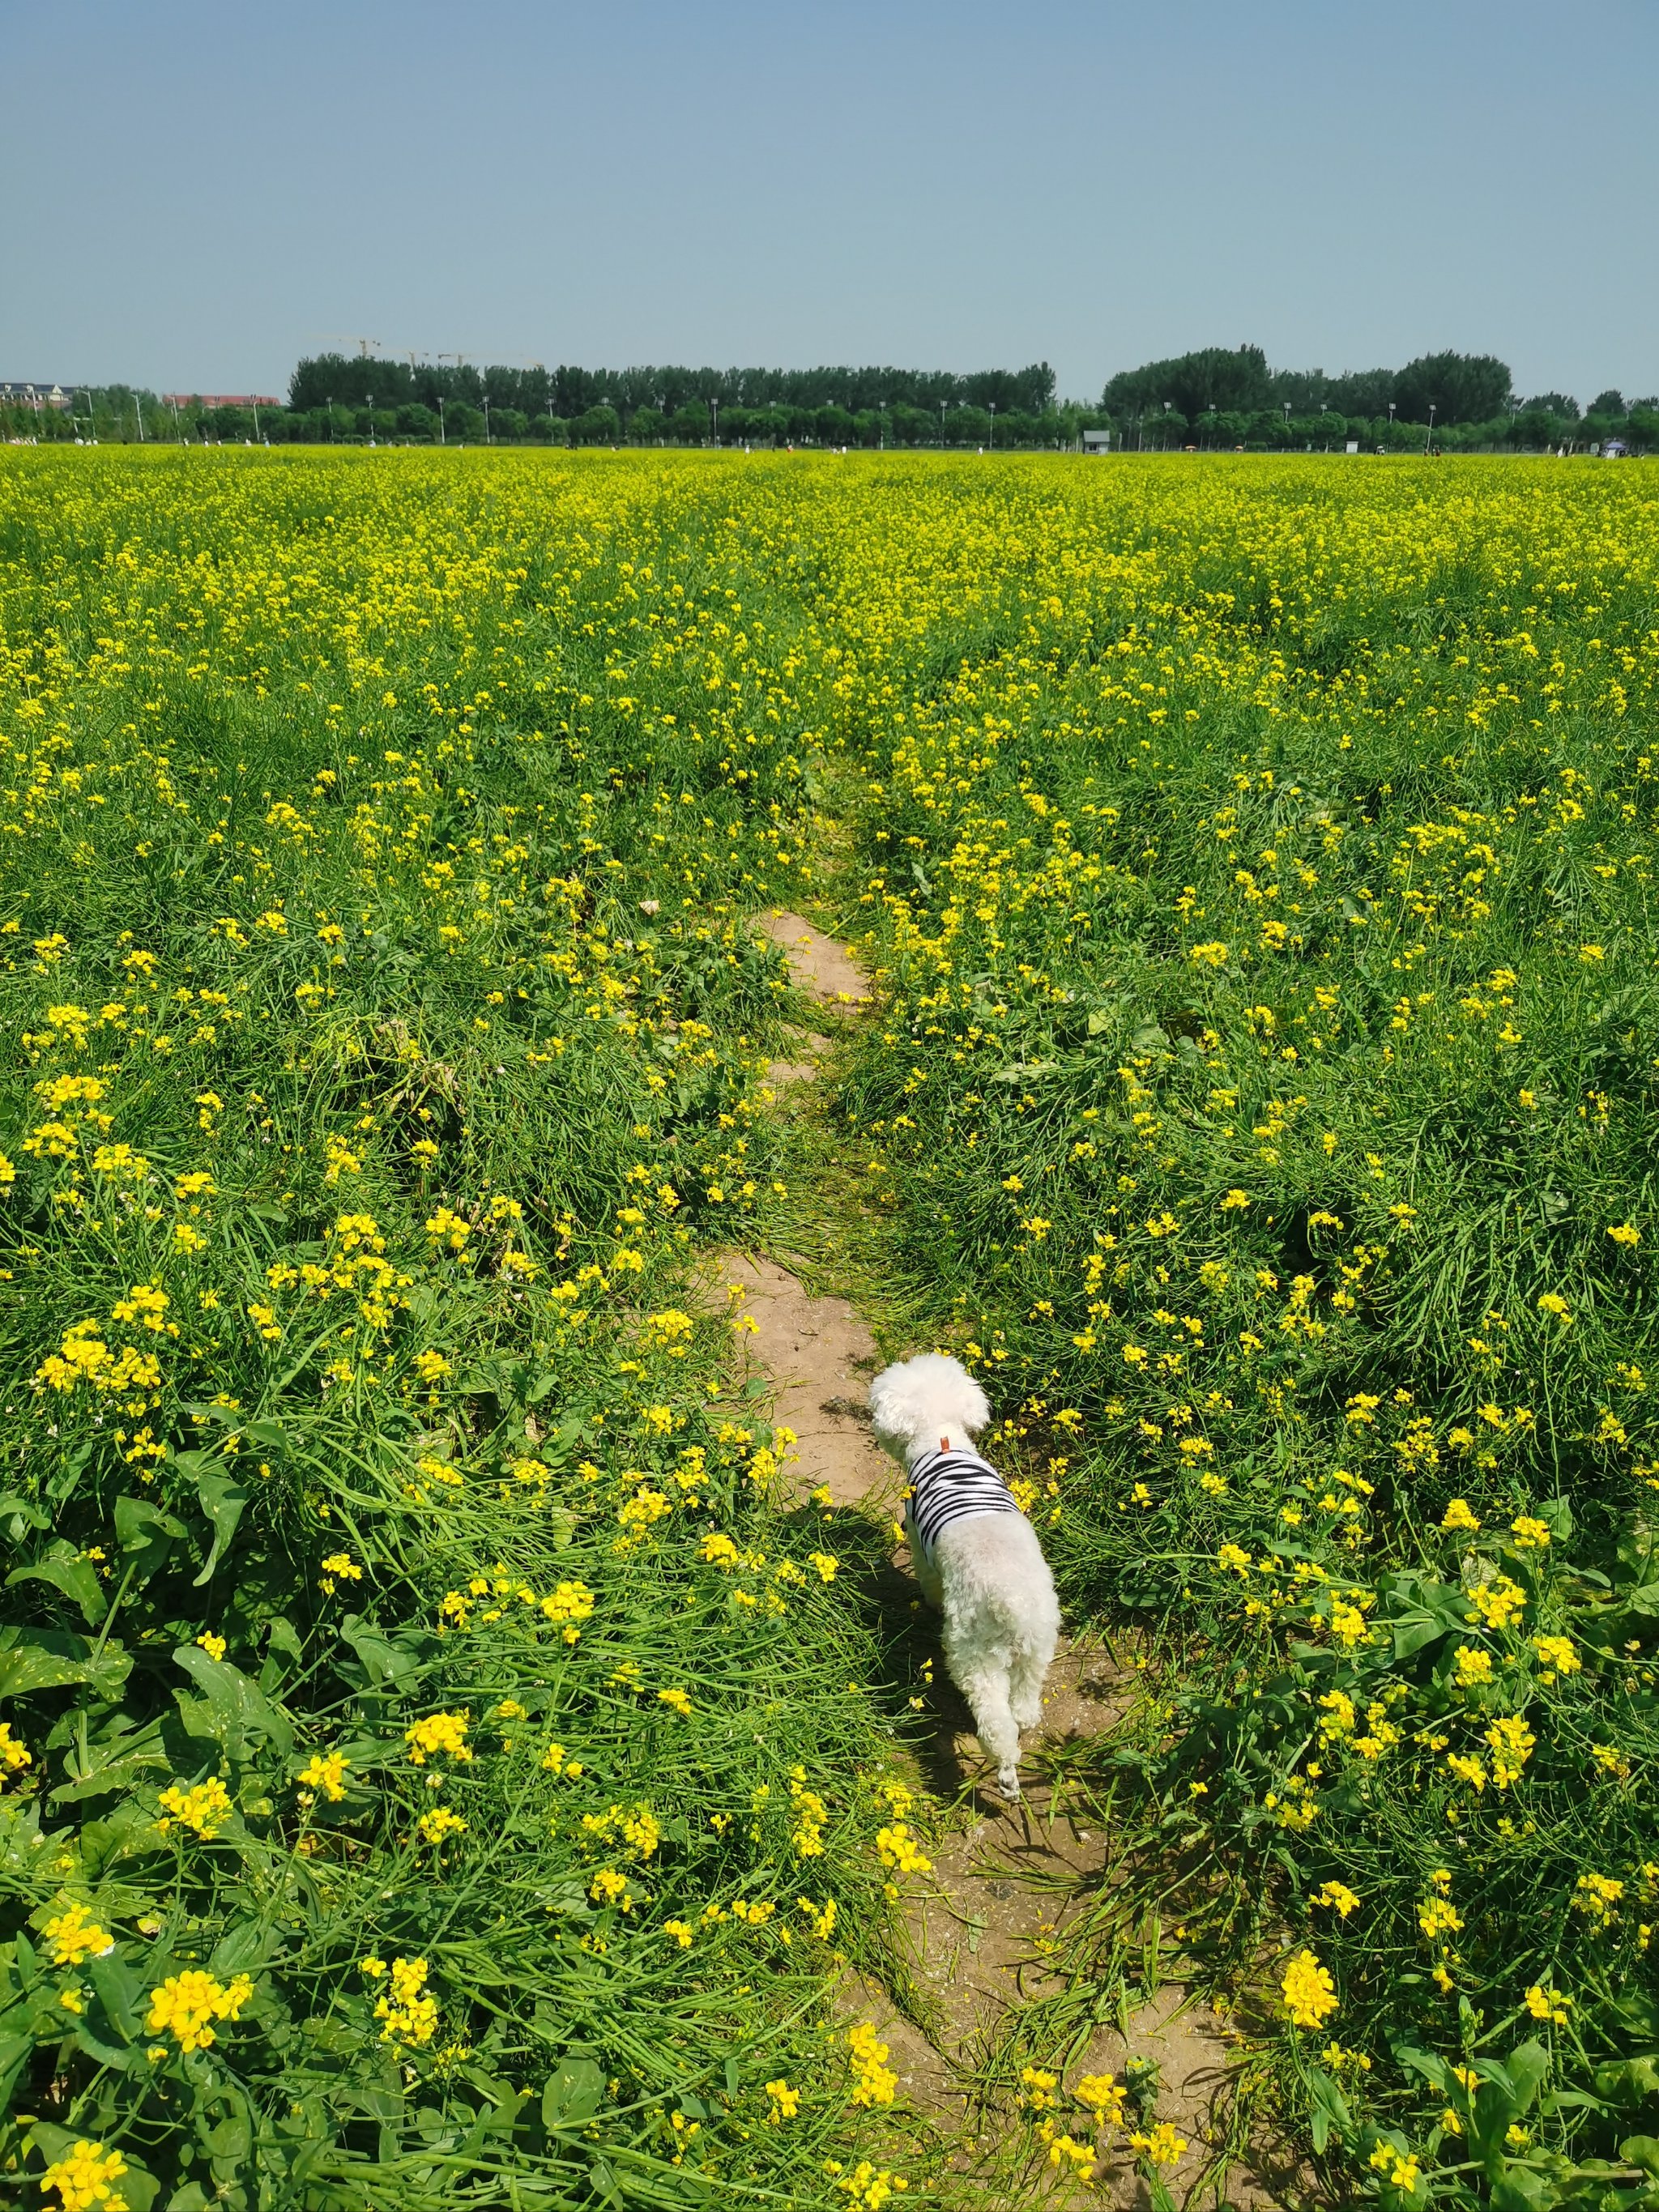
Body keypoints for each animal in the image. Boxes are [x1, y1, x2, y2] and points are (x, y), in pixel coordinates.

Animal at [871, 1345, 1066, 1796]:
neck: (941, 1438)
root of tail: (1010, 1602)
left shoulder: (920, 1544)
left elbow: (928, 1581)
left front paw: (928, 1604)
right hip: (1038, 1644)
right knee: (1024, 1704)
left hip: (972, 1653)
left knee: (996, 1721)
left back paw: (1005, 1769)